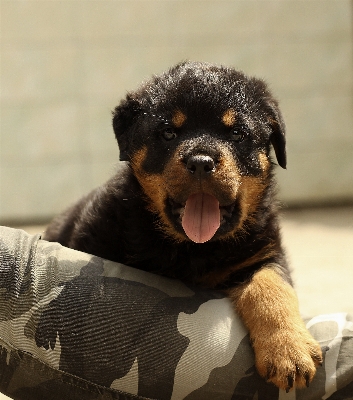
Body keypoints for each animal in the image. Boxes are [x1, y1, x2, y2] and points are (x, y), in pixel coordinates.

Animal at [44, 61, 322, 390]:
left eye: (238, 134)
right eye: (168, 133)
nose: (201, 161)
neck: (193, 250)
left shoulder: (264, 253)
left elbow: (272, 289)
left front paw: (289, 350)